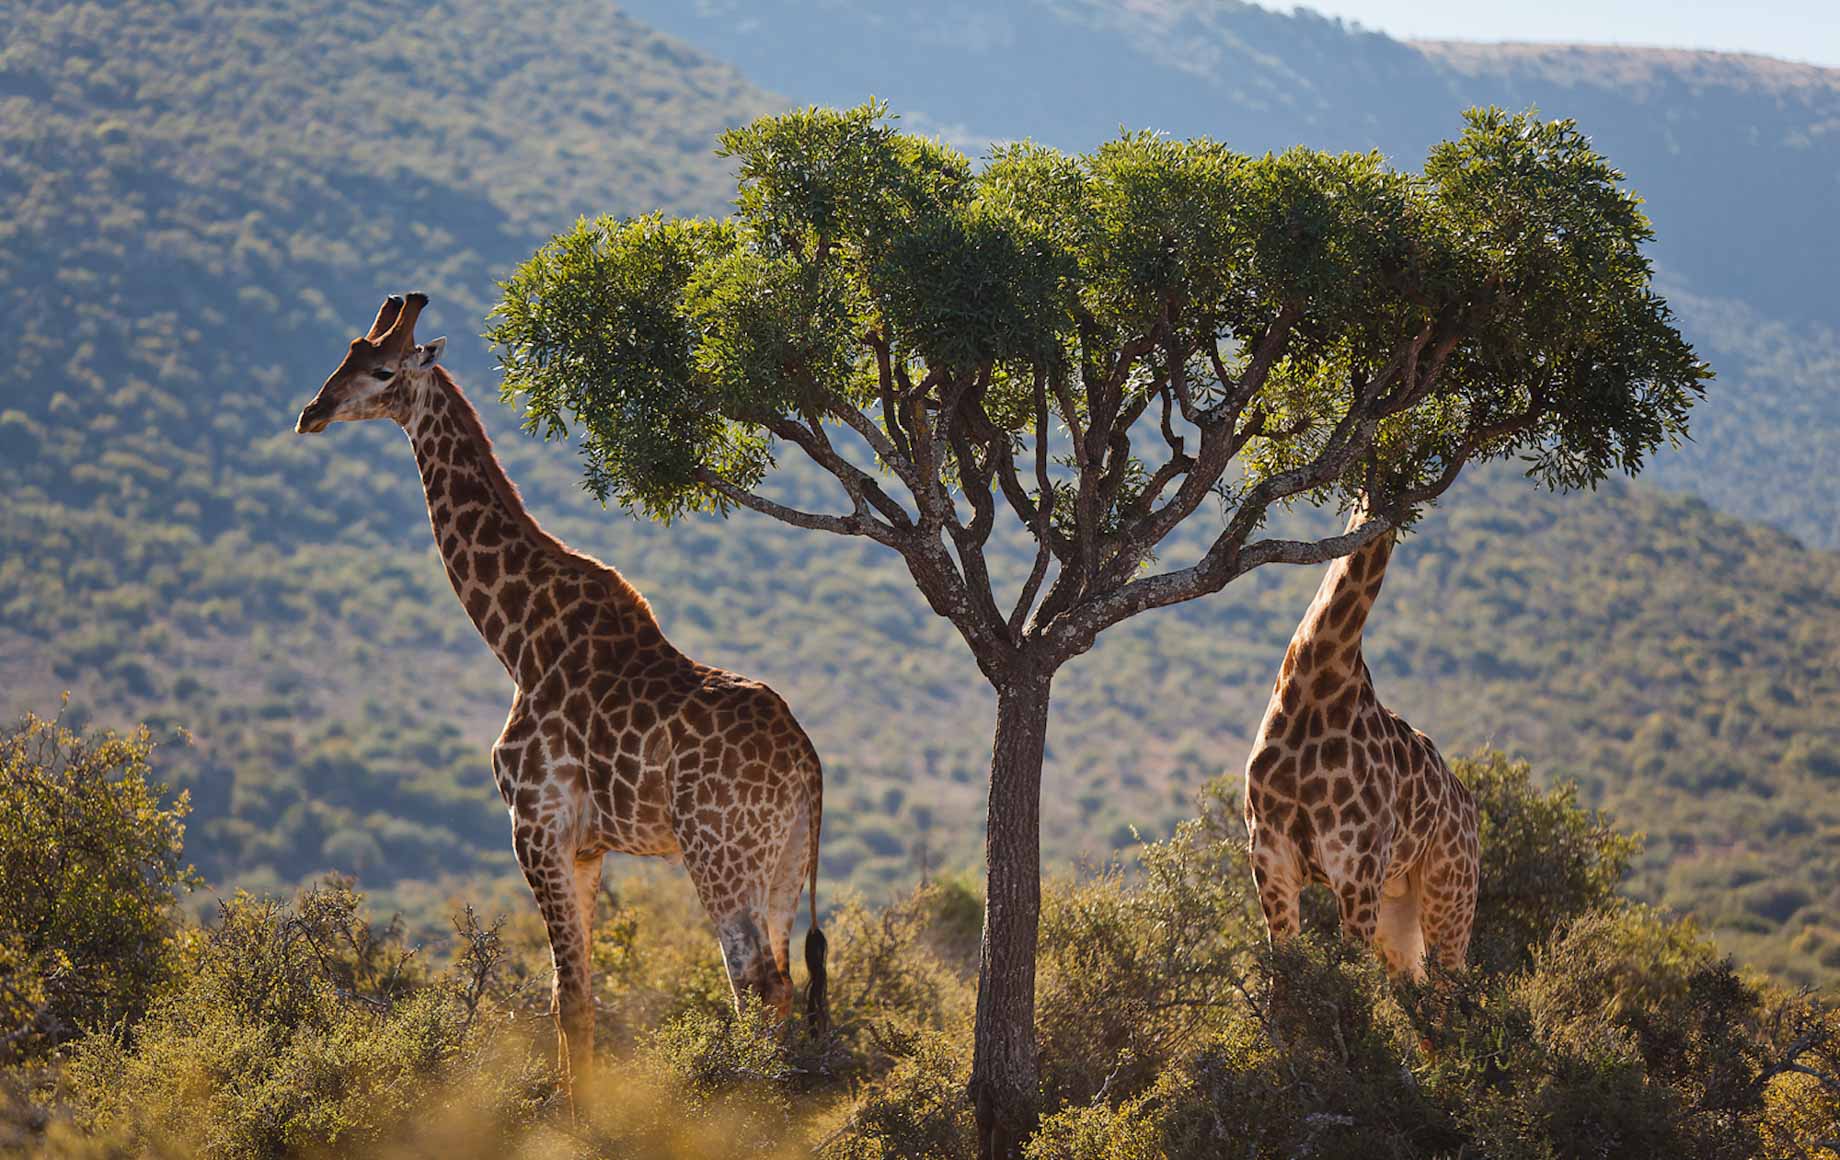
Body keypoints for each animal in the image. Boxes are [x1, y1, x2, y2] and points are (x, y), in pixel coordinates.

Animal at [294, 292, 829, 1103]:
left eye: (383, 370)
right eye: (345, 354)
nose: (311, 412)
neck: (517, 638)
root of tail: (807, 764)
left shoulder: (534, 821)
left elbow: (569, 997)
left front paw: (578, 1118)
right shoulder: (585, 845)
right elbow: (573, 994)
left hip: (719, 854)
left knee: (753, 984)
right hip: (784, 861)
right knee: (784, 985)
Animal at [1241, 508, 1479, 980]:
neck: (1318, 679)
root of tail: (1470, 810)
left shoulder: (1357, 870)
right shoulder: (1271, 862)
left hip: (1449, 894)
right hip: (1398, 907)